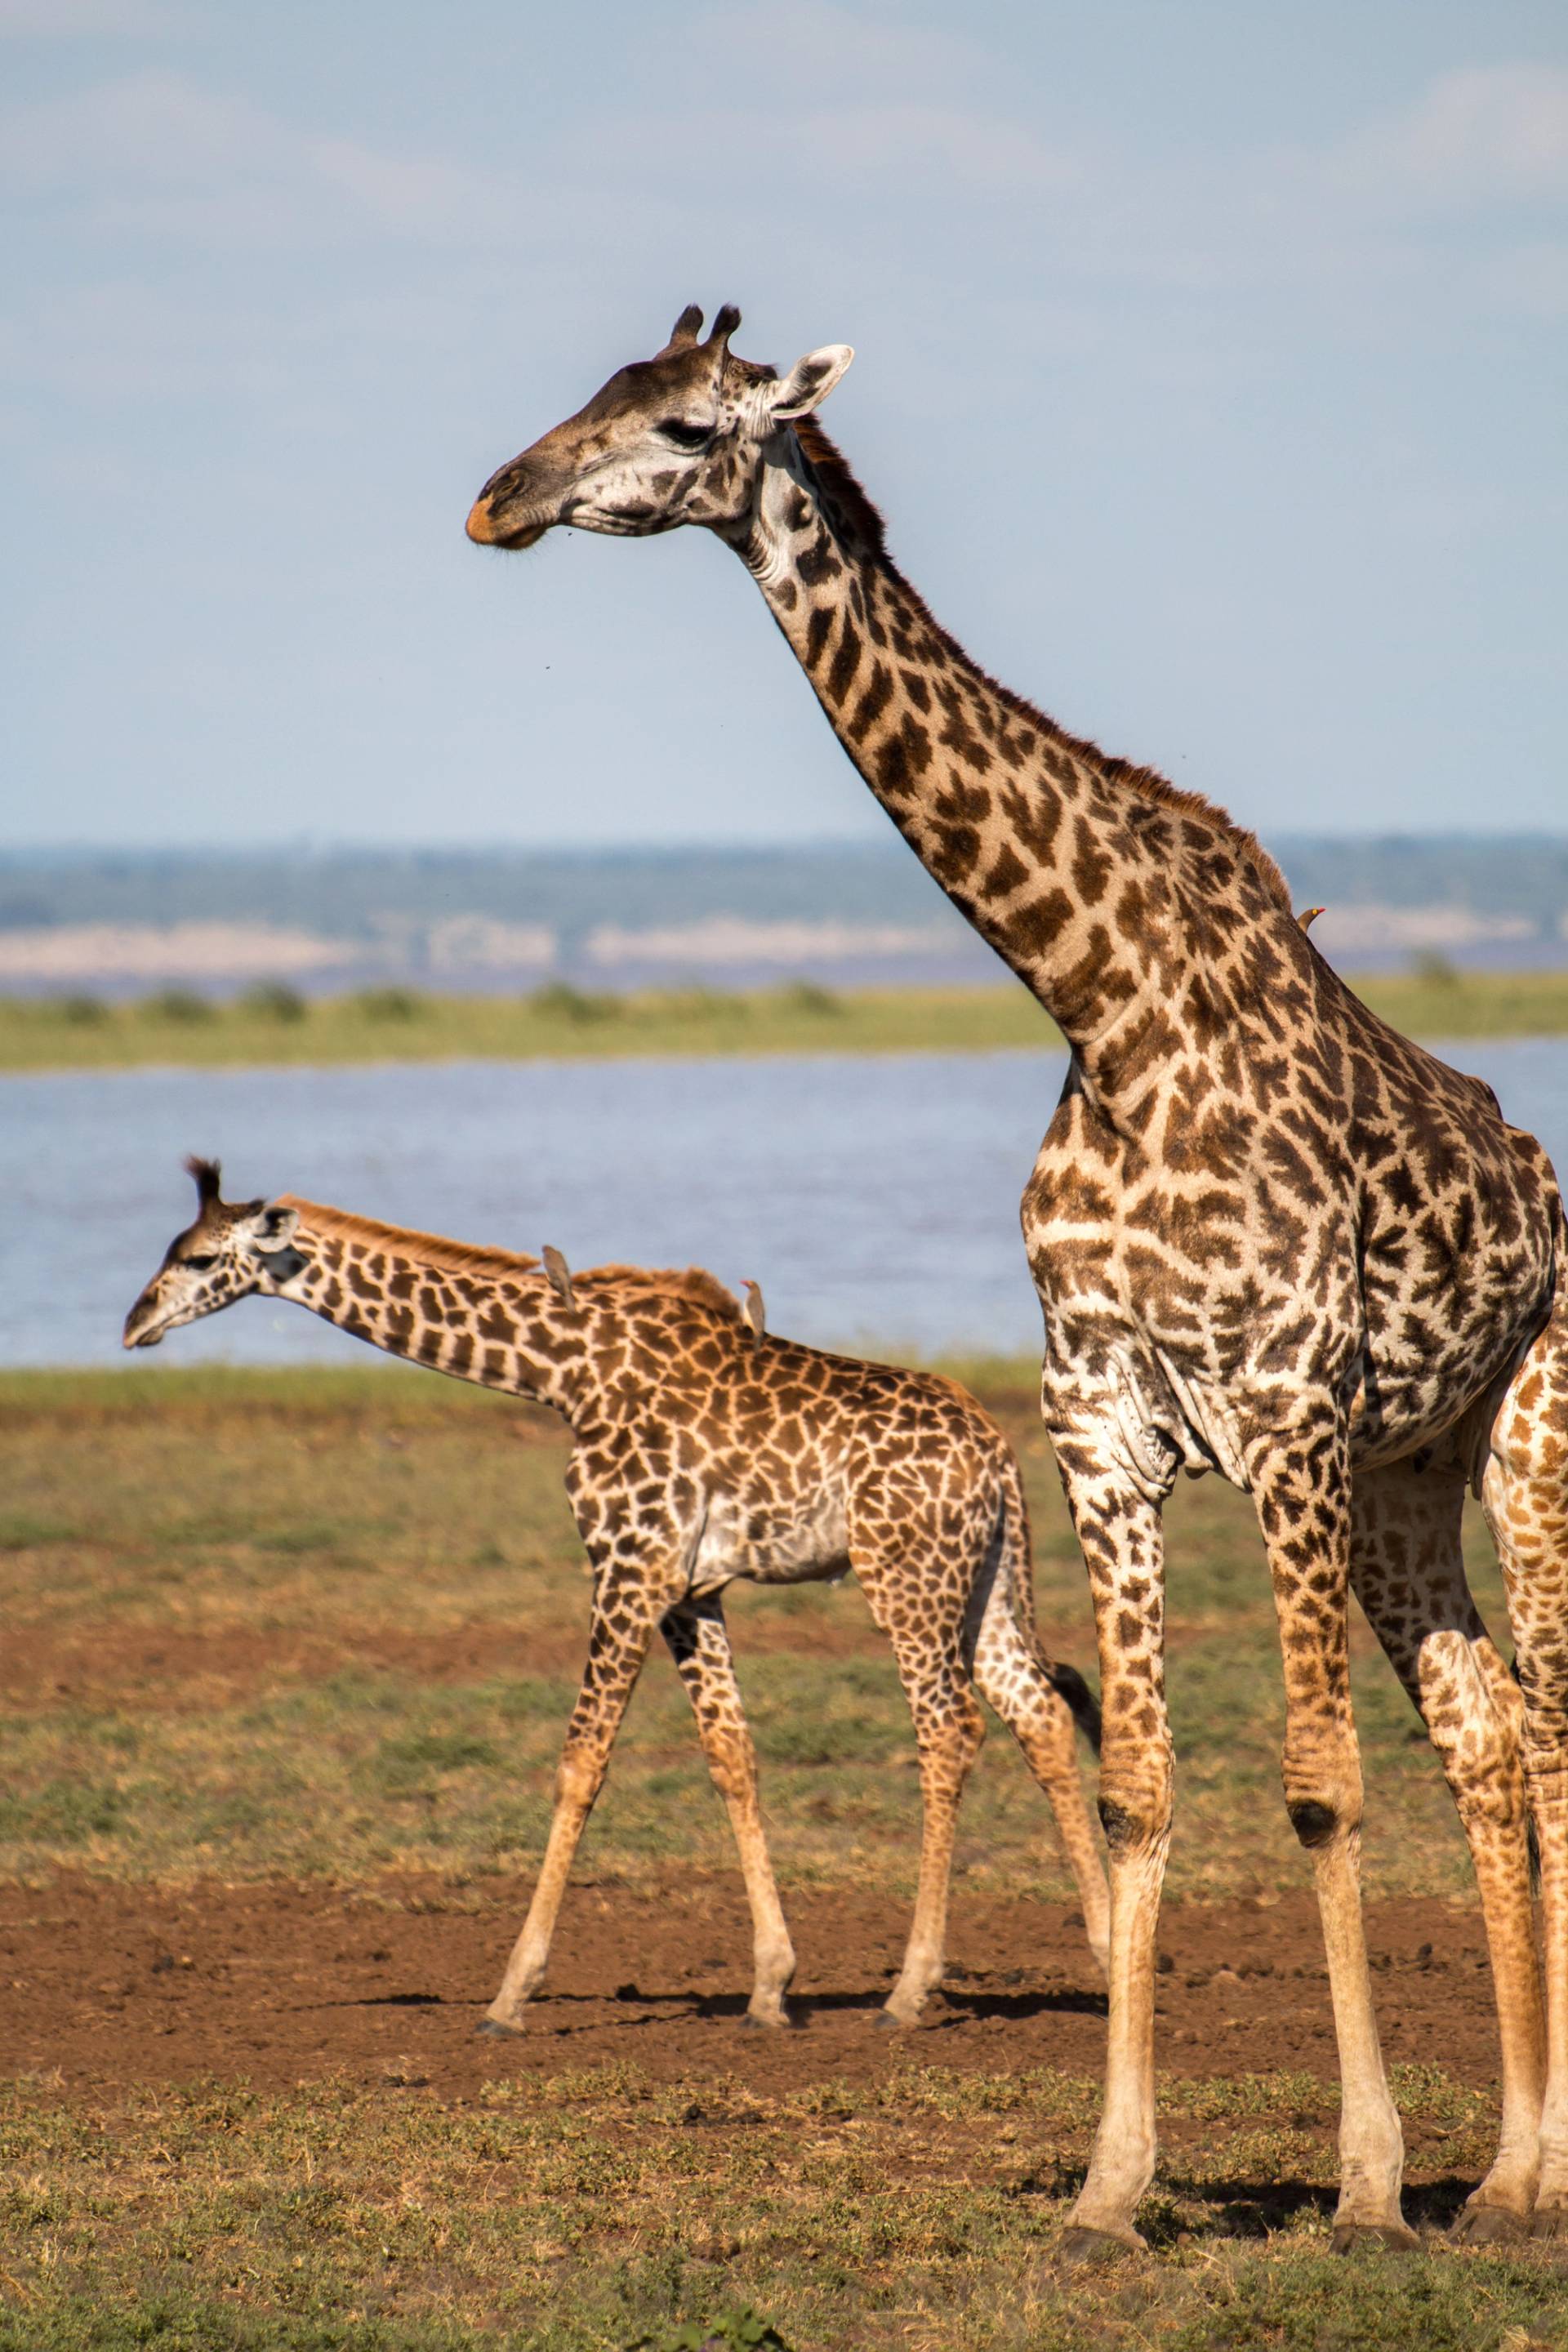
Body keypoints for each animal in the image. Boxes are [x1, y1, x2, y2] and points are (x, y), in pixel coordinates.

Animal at [124, 1159, 1110, 2033]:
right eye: (173, 1249)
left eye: (202, 1259)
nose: (135, 1324)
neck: (564, 1371)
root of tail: (997, 1454)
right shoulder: (690, 1590)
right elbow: (731, 1755)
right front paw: (769, 1989)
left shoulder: (626, 1565)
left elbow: (581, 1761)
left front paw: (510, 1994)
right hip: (982, 1585)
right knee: (1039, 1714)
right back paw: (1106, 1959)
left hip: (905, 1576)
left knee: (950, 1730)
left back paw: (909, 1993)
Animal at [464, 305, 1568, 2251]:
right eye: (583, 396)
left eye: (678, 426)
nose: (497, 499)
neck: (1104, 1005)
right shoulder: (1104, 1424)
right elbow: (1137, 1790)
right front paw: (1115, 2190)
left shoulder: (1283, 1409)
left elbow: (1317, 1788)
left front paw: (1363, 2187)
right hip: (1404, 1479)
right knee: (1487, 1731)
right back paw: (1508, 2175)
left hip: (1520, 1439)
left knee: (1557, 1737)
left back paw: (1533, 2167)